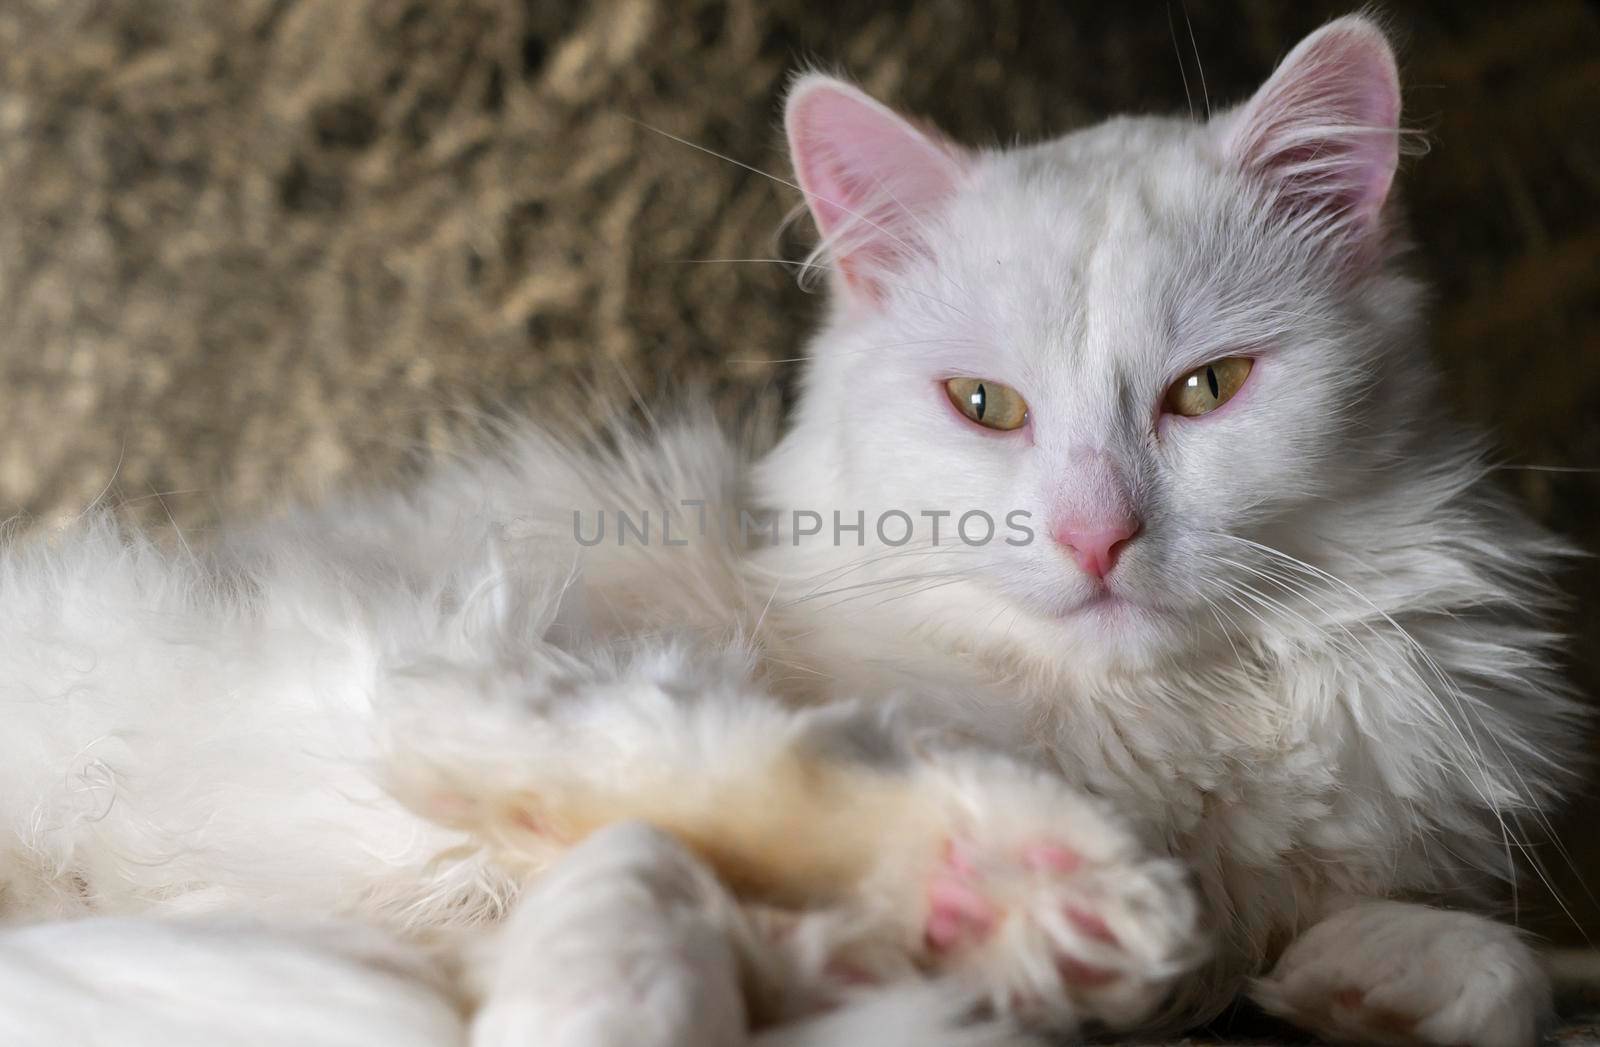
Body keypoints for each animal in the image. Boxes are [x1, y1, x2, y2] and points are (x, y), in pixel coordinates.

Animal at [0, 14, 1580, 1047]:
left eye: (1208, 390)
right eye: (986, 406)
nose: (1096, 538)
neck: (1149, 728)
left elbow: (1502, 972)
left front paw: (1371, 985)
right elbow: (666, 864)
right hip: (406, 669)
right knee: (594, 774)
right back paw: (1052, 896)